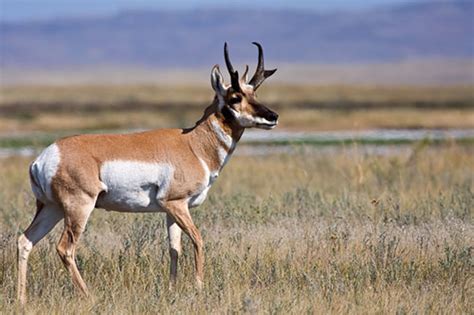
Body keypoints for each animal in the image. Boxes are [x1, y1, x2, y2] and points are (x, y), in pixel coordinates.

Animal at [17, 42, 278, 304]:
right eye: (235, 97)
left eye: (254, 94)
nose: (273, 116)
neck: (193, 145)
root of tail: (45, 157)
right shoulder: (176, 203)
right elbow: (198, 240)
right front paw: (199, 288)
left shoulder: (172, 210)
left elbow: (174, 248)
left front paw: (171, 291)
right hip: (78, 208)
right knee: (65, 249)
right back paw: (89, 296)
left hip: (52, 208)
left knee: (25, 241)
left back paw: (21, 299)